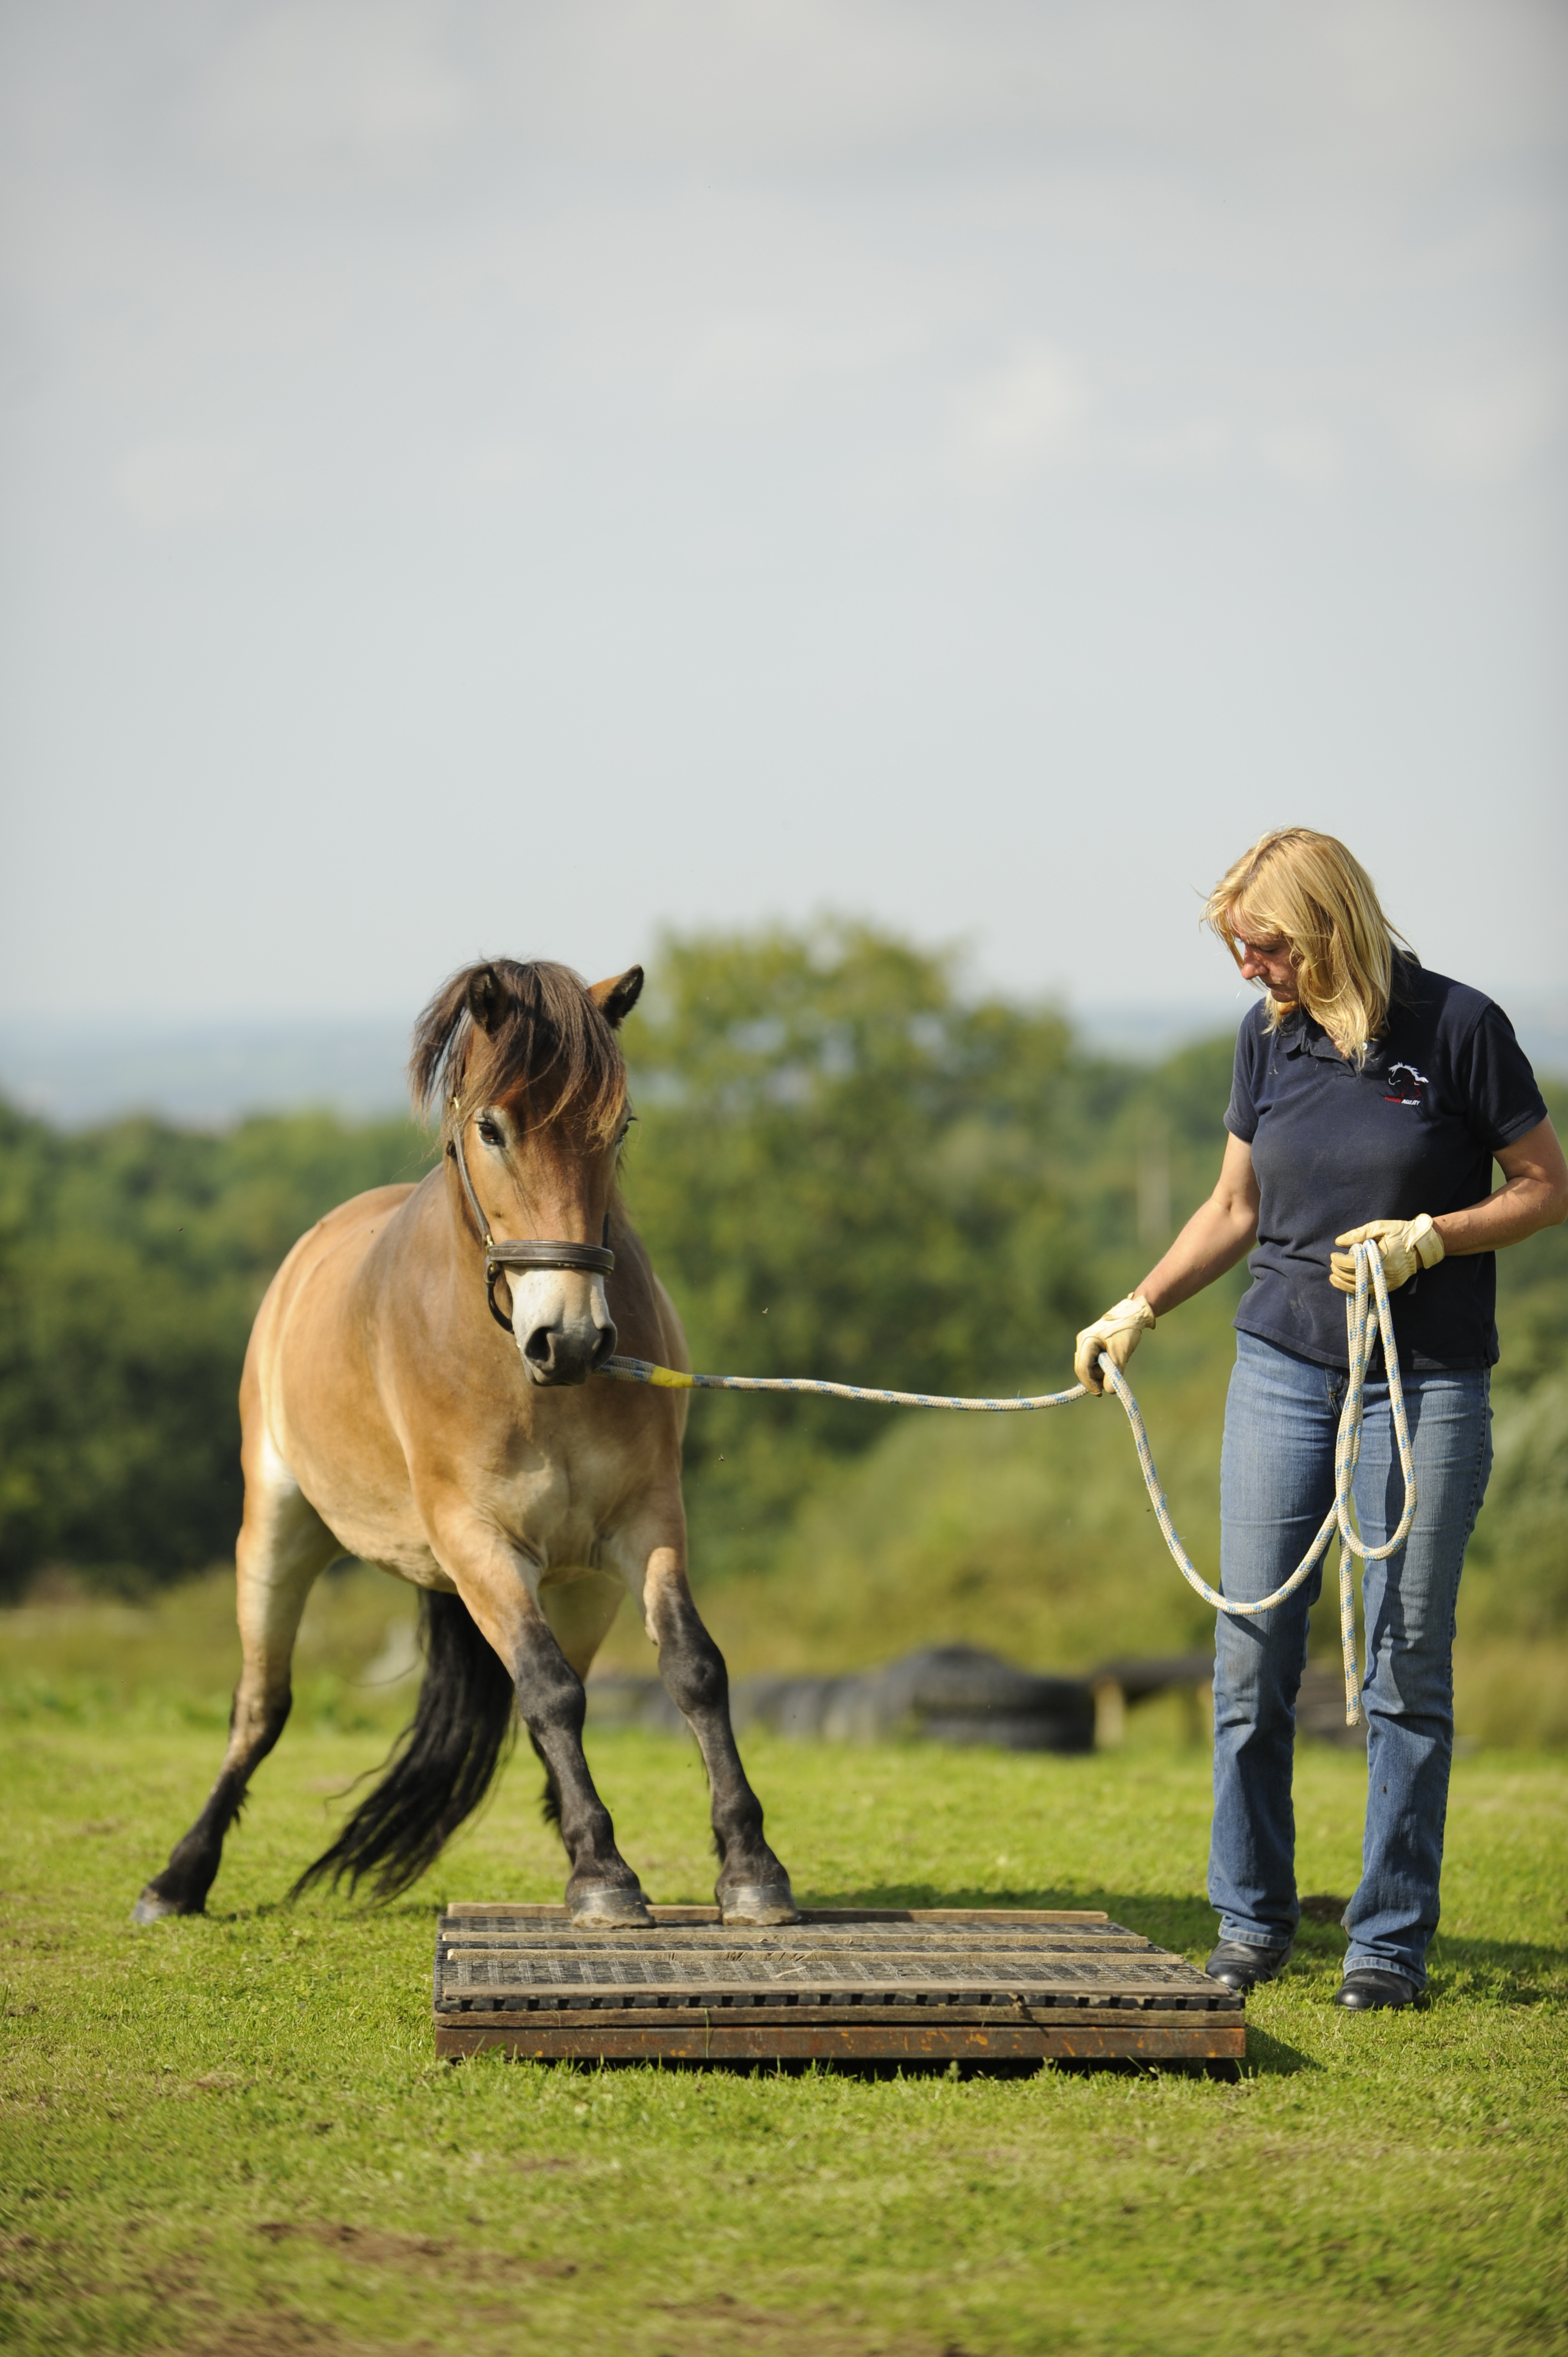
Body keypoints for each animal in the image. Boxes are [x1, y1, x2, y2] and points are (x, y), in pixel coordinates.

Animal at [133, 956, 797, 1932]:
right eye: (492, 1127)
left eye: (618, 1126)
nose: (574, 1340)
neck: (521, 1374)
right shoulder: (478, 1543)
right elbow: (550, 1691)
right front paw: (605, 1876)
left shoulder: (647, 1525)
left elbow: (693, 1669)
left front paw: (749, 1863)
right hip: (279, 1533)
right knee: (261, 1707)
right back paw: (179, 1877)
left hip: (584, 1587)